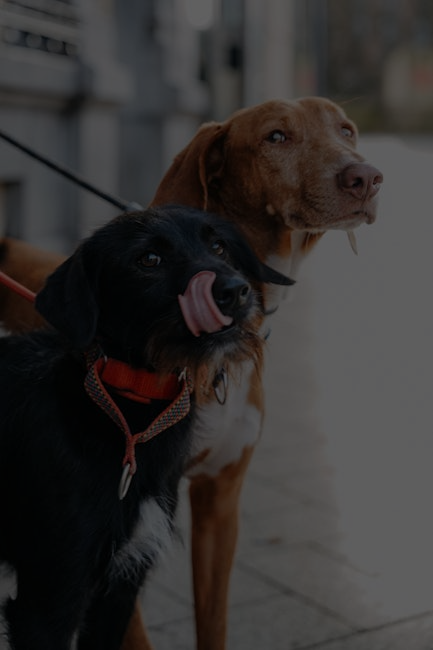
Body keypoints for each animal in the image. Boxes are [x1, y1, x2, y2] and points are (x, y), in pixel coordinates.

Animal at [0, 204, 292, 650]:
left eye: (218, 246)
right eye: (148, 260)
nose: (238, 291)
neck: (124, 411)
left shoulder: (120, 586)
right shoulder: (49, 597)